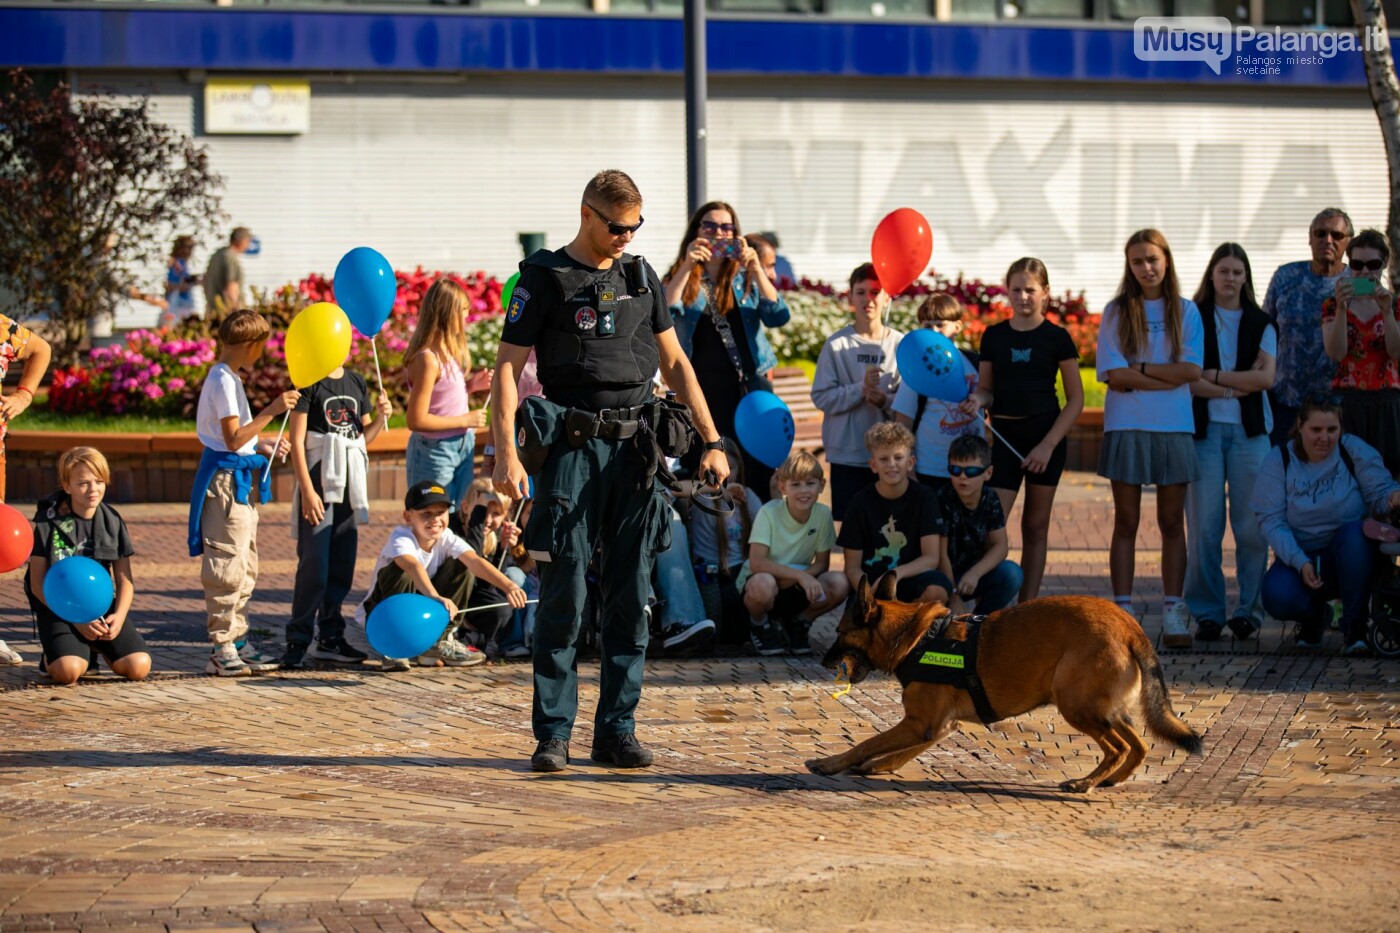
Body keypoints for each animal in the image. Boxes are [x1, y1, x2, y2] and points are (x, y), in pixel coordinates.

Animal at [812, 577, 1204, 790]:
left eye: (840, 632)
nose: (823, 661)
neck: (915, 636)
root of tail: (1129, 625)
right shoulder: (937, 727)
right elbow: (900, 750)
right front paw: (878, 766)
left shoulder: (919, 723)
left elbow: (867, 743)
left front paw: (831, 763)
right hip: (1103, 710)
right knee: (1139, 745)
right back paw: (1110, 779)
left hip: (1076, 706)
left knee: (1118, 748)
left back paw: (1086, 783)